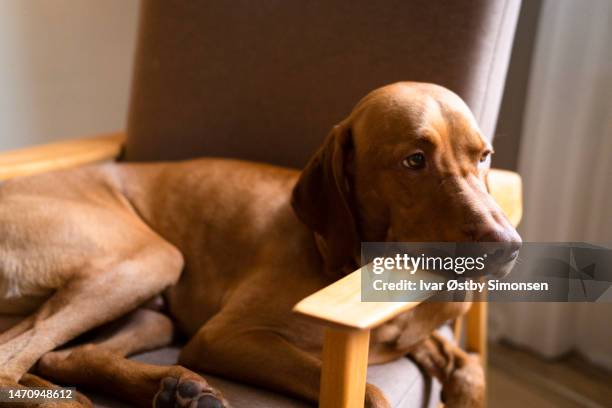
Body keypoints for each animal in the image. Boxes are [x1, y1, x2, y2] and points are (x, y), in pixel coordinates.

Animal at [0, 83, 520, 408]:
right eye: (414, 160)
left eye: (484, 156)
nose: (509, 246)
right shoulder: (227, 336)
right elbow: (372, 392)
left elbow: (470, 365)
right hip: (150, 260)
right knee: (12, 358)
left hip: (154, 313)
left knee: (62, 355)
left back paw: (177, 389)